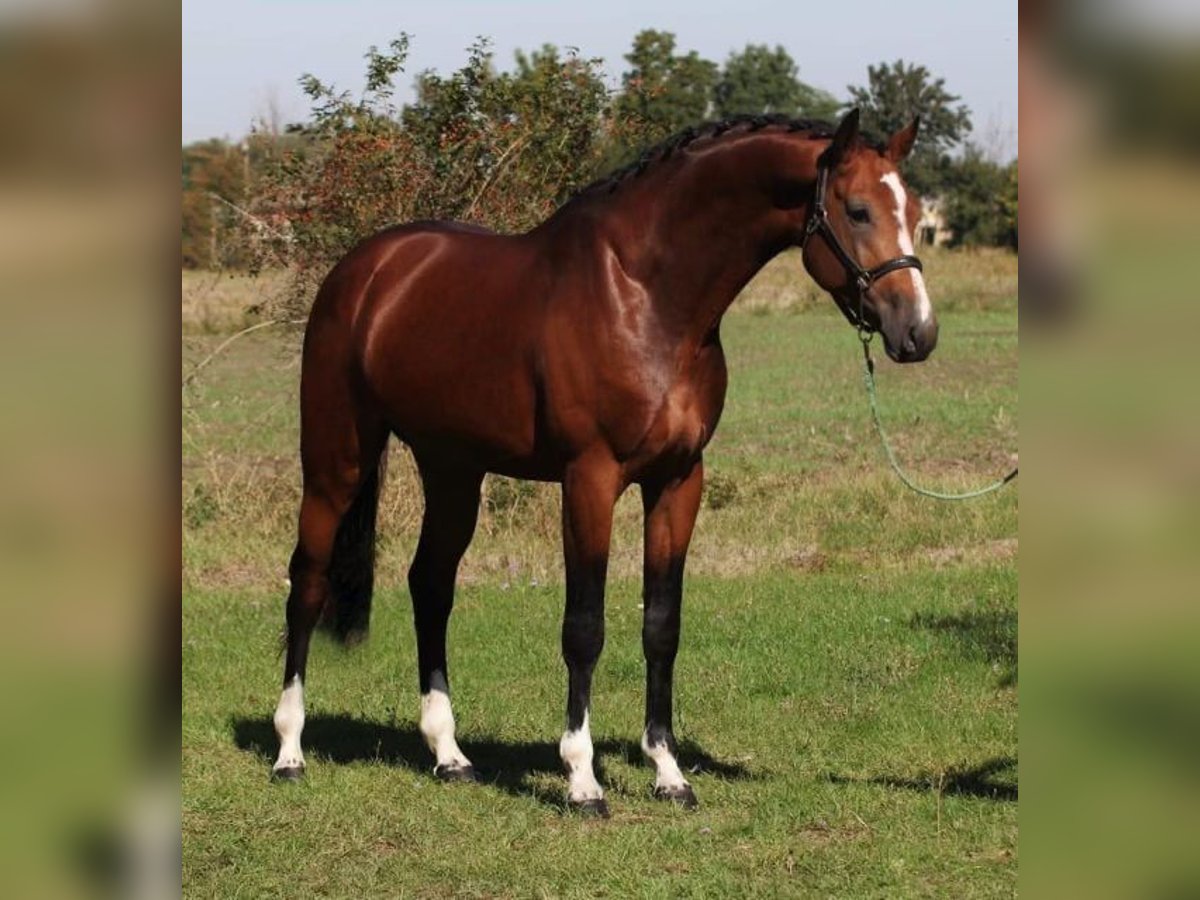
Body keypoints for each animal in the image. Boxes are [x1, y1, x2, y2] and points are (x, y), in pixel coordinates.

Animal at [270, 107, 936, 816]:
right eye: (858, 210)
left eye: (915, 210)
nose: (919, 332)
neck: (647, 297)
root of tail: (366, 269)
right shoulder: (589, 478)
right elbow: (584, 626)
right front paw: (582, 779)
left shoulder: (678, 480)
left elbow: (662, 624)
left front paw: (668, 772)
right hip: (337, 462)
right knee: (307, 583)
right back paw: (290, 751)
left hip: (453, 470)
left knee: (431, 585)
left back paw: (449, 754)